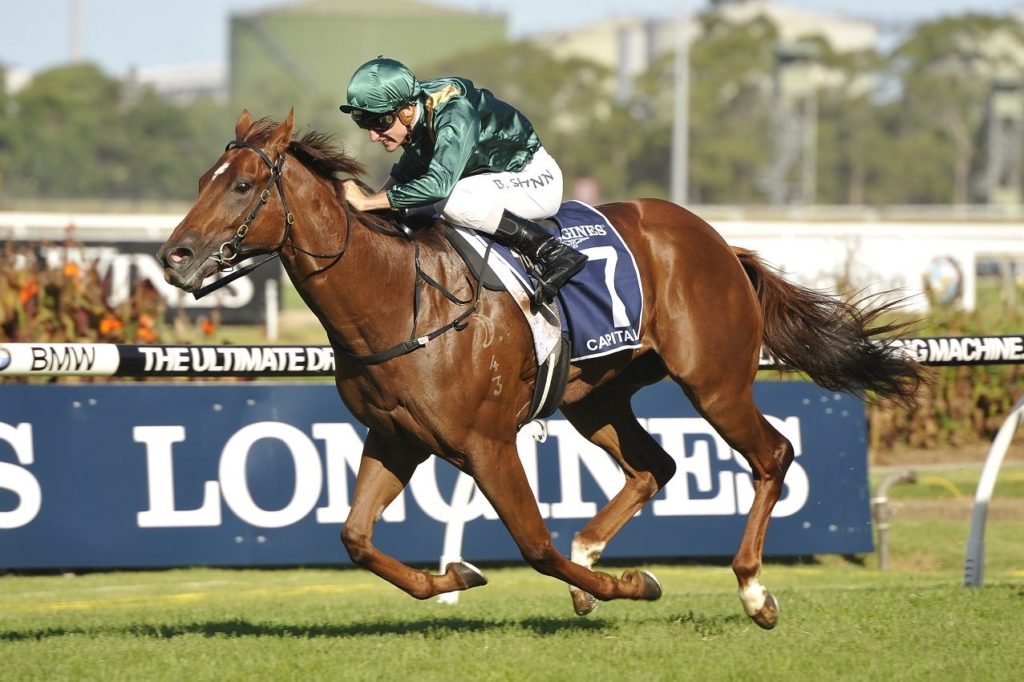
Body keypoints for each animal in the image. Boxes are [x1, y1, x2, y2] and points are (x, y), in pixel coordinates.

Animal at [155, 111, 925, 626]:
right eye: (200, 180)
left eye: (243, 184)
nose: (174, 257)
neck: (398, 297)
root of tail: (718, 242)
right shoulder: (396, 437)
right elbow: (355, 538)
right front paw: (455, 576)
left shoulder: (487, 445)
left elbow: (534, 545)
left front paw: (633, 584)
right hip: (596, 396)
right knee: (654, 466)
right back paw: (594, 556)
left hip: (715, 382)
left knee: (773, 454)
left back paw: (751, 590)